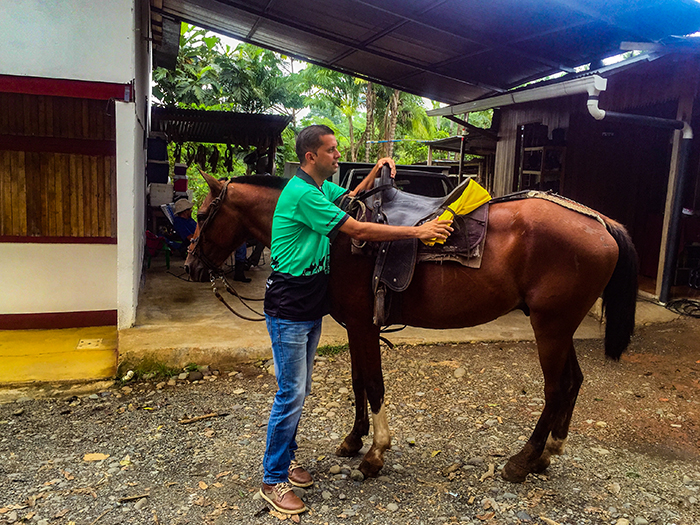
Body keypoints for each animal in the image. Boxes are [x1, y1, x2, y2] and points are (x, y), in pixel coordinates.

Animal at [183, 173, 636, 484]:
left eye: (202, 215)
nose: (190, 267)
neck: (337, 238)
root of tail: (601, 222)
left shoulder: (364, 325)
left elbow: (374, 384)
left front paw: (375, 454)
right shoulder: (356, 327)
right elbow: (358, 381)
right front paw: (354, 440)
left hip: (551, 326)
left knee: (556, 388)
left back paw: (522, 462)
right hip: (560, 325)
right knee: (574, 381)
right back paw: (547, 455)